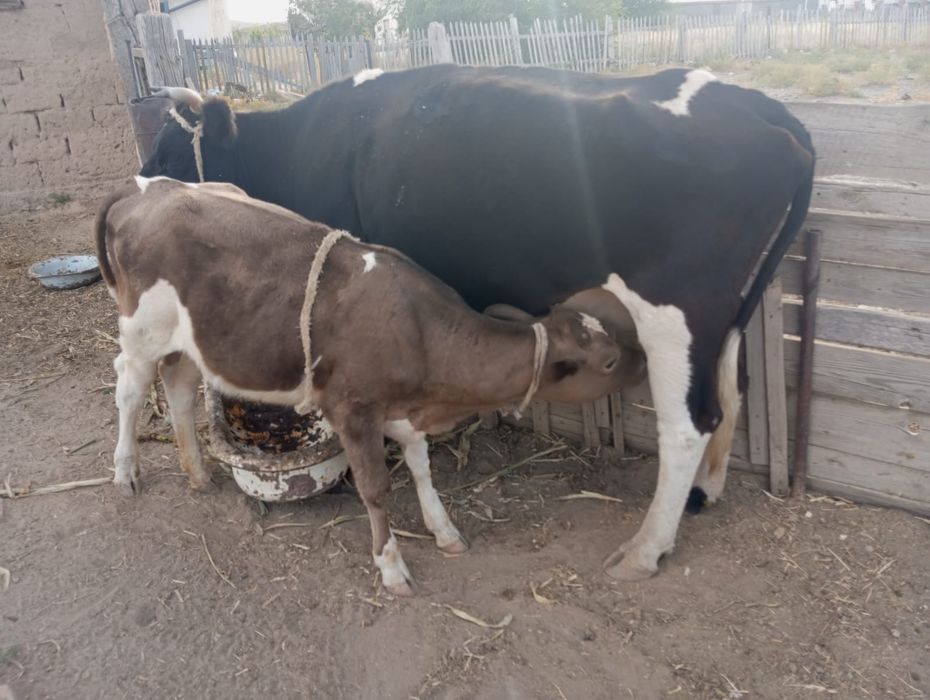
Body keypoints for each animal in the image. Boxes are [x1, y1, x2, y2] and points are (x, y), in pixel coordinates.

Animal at [95, 175, 643, 594]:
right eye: (611, 360)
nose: (642, 361)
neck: (419, 330)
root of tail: (150, 186)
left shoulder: (405, 409)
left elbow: (422, 469)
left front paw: (444, 530)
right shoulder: (353, 410)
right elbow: (377, 488)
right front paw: (392, 566)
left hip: (188, 339)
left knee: (178, 384)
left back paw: (197, 472)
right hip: (141, 331)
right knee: (129, 387)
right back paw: (125, 472)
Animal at [140, 64, 815, 580]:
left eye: (172, 150)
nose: (144, 191)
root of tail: (752, 103)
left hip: (676, 312)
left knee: (687, 424)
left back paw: (644, 550)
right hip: (726, 316)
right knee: (731, 395)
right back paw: (704, 494)